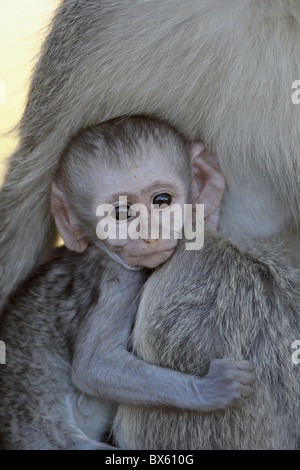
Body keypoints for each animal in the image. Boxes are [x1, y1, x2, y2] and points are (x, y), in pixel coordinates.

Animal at [0, 115, 255, 450]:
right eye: (121, 213)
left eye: (162, 201)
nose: (150, 234)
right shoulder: (120, 282)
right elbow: (94, 365)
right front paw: (207, 390)